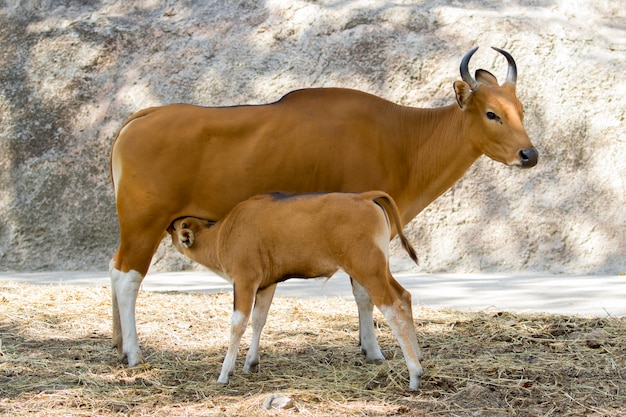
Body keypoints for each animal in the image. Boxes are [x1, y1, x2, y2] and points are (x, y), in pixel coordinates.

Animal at [108, 46, 536, 368]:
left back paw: (117, 344)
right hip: (144, 222)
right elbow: (364, 292)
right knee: (128, 278)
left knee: (114, 270)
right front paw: (374, 350)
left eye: (522, 111)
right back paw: (134, 353)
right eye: (491, 113)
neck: (404, 140)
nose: (529, 154)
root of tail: (138, 118)